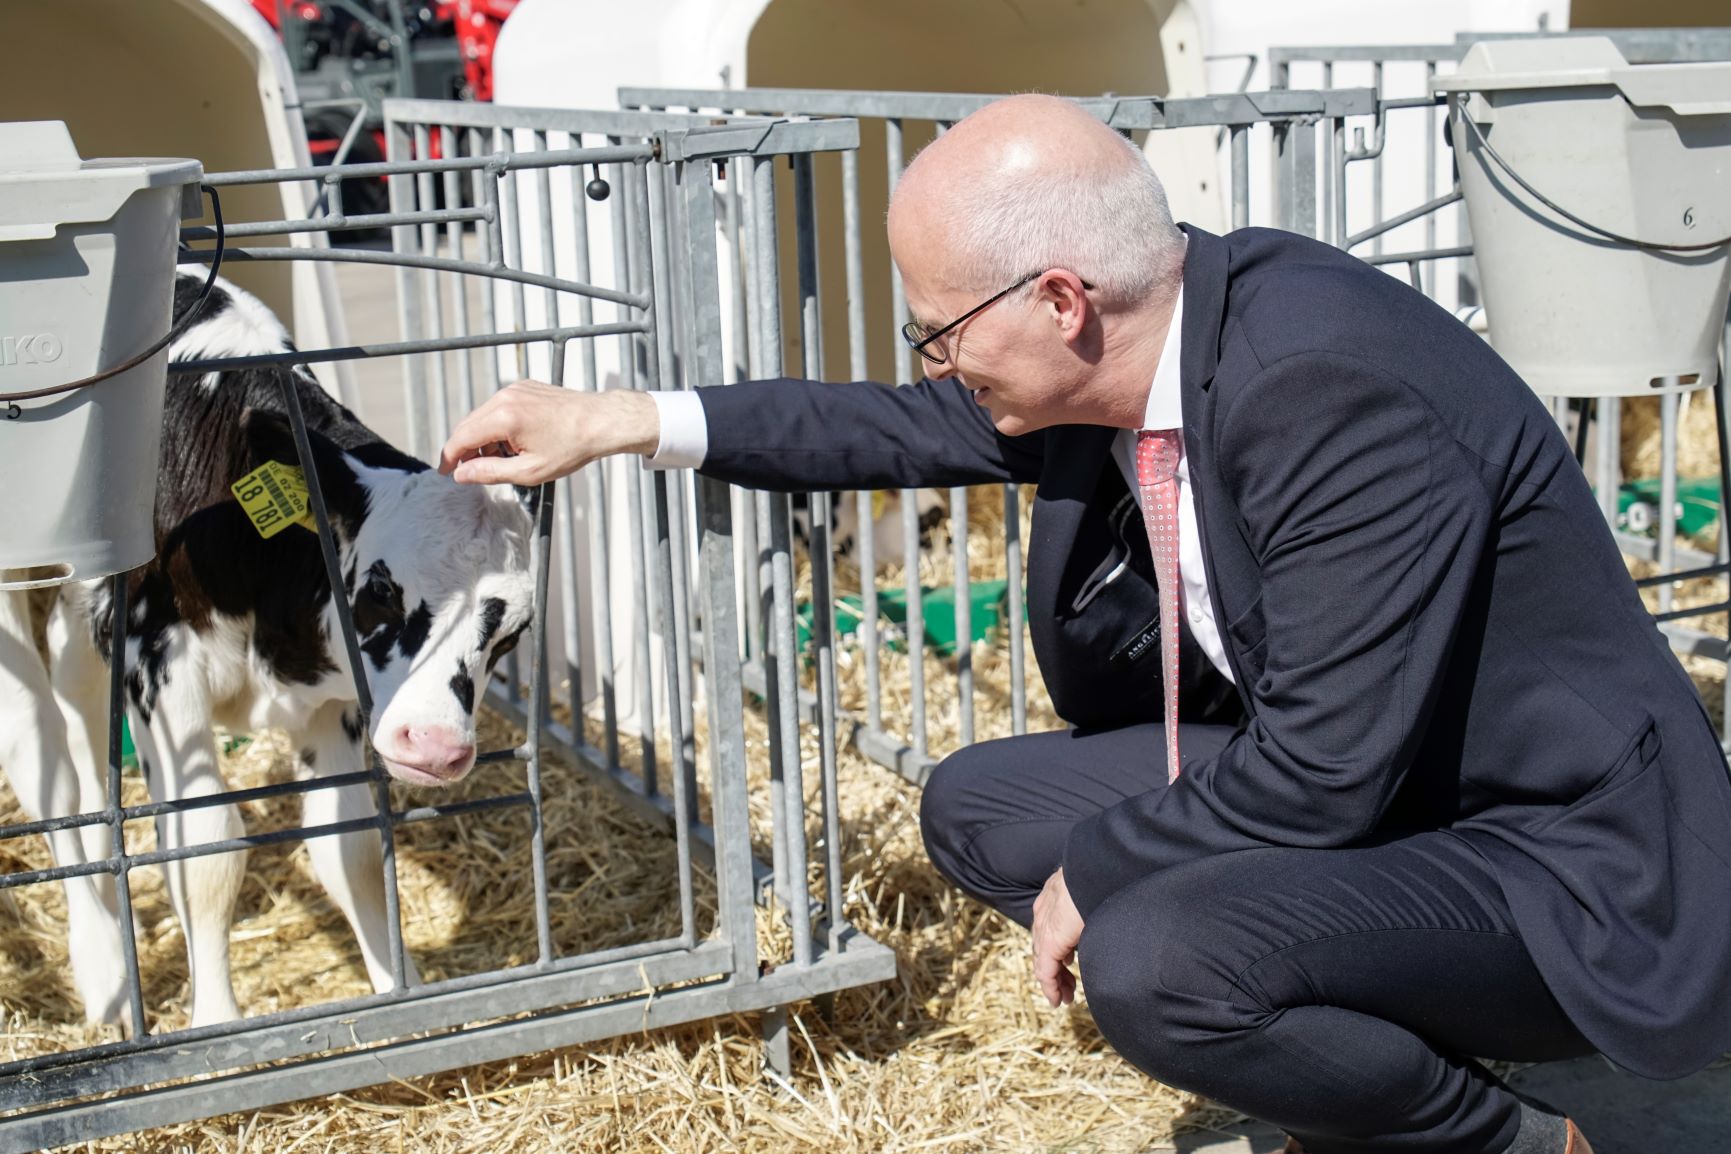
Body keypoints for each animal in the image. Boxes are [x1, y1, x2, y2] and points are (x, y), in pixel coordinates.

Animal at [0, 276, 533, 1031]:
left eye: (513, 631)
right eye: (379, 588)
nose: (434, 745)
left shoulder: (335, 705)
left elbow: (349, 848)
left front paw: (399, 993)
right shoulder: (156, 666)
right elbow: (207, 851)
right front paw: (215, 1021)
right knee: (39, 738)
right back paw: (103, 968)